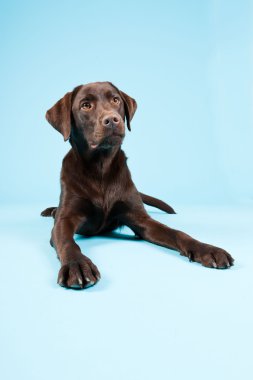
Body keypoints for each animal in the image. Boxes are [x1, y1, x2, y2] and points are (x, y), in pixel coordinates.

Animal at [41, 80, 233, 288]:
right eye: (85, 105)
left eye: (115, 100)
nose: (112, 120)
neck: (100, 169)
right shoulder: (64, 221)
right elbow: (68, 242)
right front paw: (77, 264)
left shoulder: (141, 220)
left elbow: (177, 233)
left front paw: (207, 249)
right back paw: (51, 211)